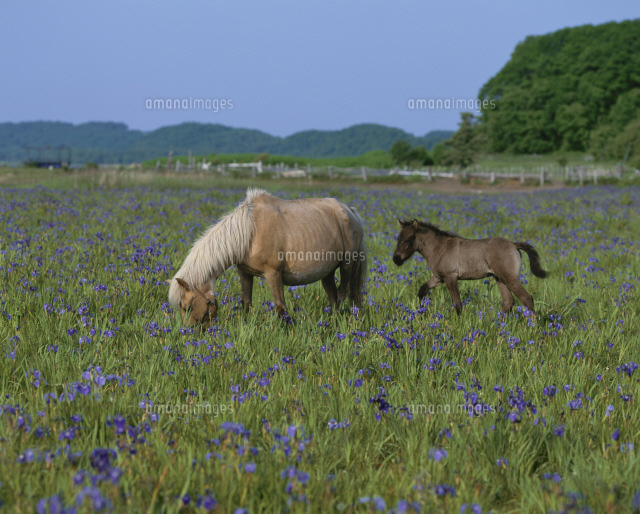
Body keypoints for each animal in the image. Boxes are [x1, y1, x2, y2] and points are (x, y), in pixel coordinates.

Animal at [168, 188, 367, 326]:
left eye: (187, 307)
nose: (190, 335)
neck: (250, 233)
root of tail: (350, 211)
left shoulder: (273, 275)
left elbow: (281, 308)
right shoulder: (245, 274)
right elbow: (246, 303)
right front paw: (245, 326)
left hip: (347, 266)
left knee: (342, 295)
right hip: (327, 273)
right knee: (333, 298)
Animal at [392, 219, 547, 314]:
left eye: (408, 239)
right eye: (398, 239)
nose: (396, 259)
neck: (440, 248)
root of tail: (513, 244)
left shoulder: (450, 277)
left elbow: (457, 304)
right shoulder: (439, 277)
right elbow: (422, 290)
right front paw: (421, 312)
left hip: (509, 278)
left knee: (527, 299)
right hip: (499, 278)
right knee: (508, 302)